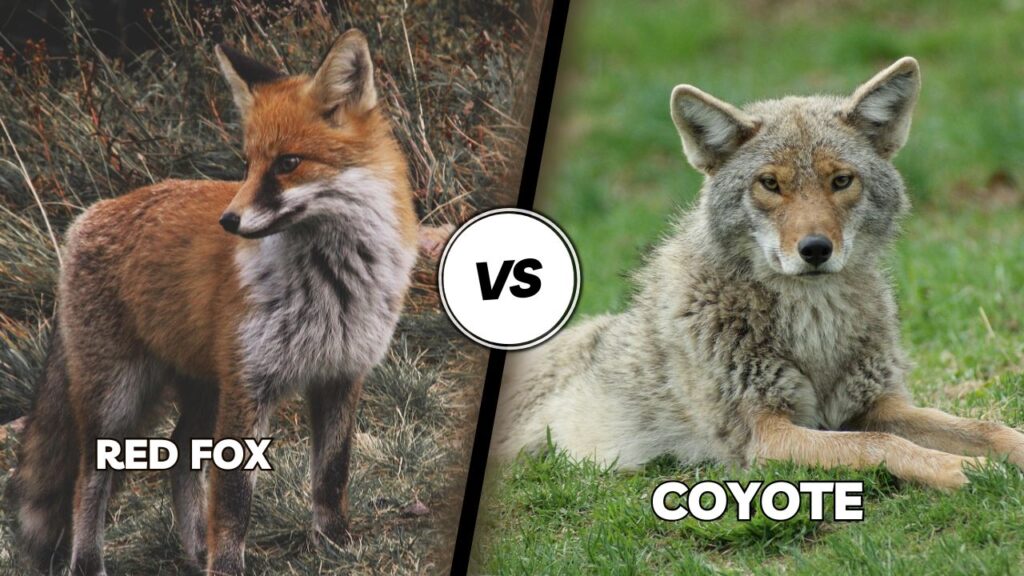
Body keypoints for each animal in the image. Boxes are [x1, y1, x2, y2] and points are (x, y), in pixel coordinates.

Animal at [10, 30, 418, 576]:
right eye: (247, 165)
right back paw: (90, 563)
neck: (331, 283)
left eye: (288, 163)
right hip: (117, 398)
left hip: (202, 388)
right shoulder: (249, 385)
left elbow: (332, 474)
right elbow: (233, 496)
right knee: (87, 481)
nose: (229, 221)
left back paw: (194, 551)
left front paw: (334, 544)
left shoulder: (341, 373)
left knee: (180, 457)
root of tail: (87, 217)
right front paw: (226, 566)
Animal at [492, 57, 1024, 490]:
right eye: (770, 184)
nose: (815, 249)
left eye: (841, 181)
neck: (815, 326)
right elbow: (881, 445)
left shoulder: (878, 405)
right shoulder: (767, 435)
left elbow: (986, 429)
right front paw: (968, 470)